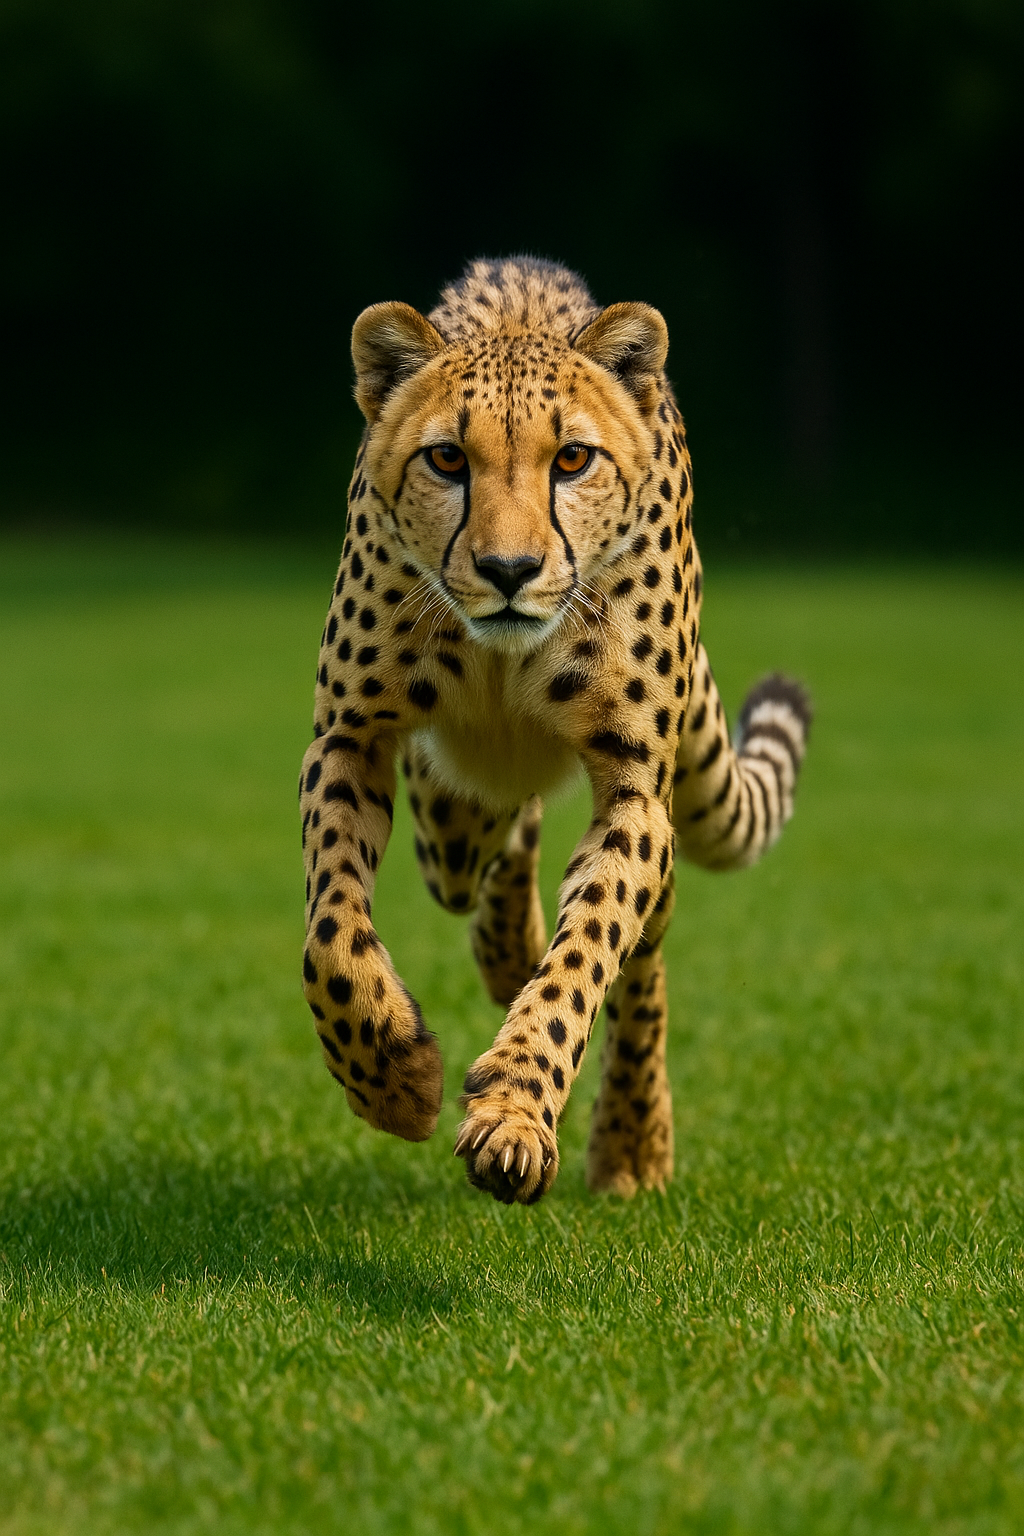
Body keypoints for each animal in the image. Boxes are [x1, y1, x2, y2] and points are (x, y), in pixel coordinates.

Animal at [298, 256, 811, 1206]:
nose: (508, 569)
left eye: (571, 459)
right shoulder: (349, 736)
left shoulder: (635, 790)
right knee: (491, 842)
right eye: (447, 459)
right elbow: (331, 937)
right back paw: (507, 949)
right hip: (453, 814)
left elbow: (587, 955)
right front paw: (392, 1080)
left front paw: (513, 1116)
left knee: (643, 957)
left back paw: (633, 1140)